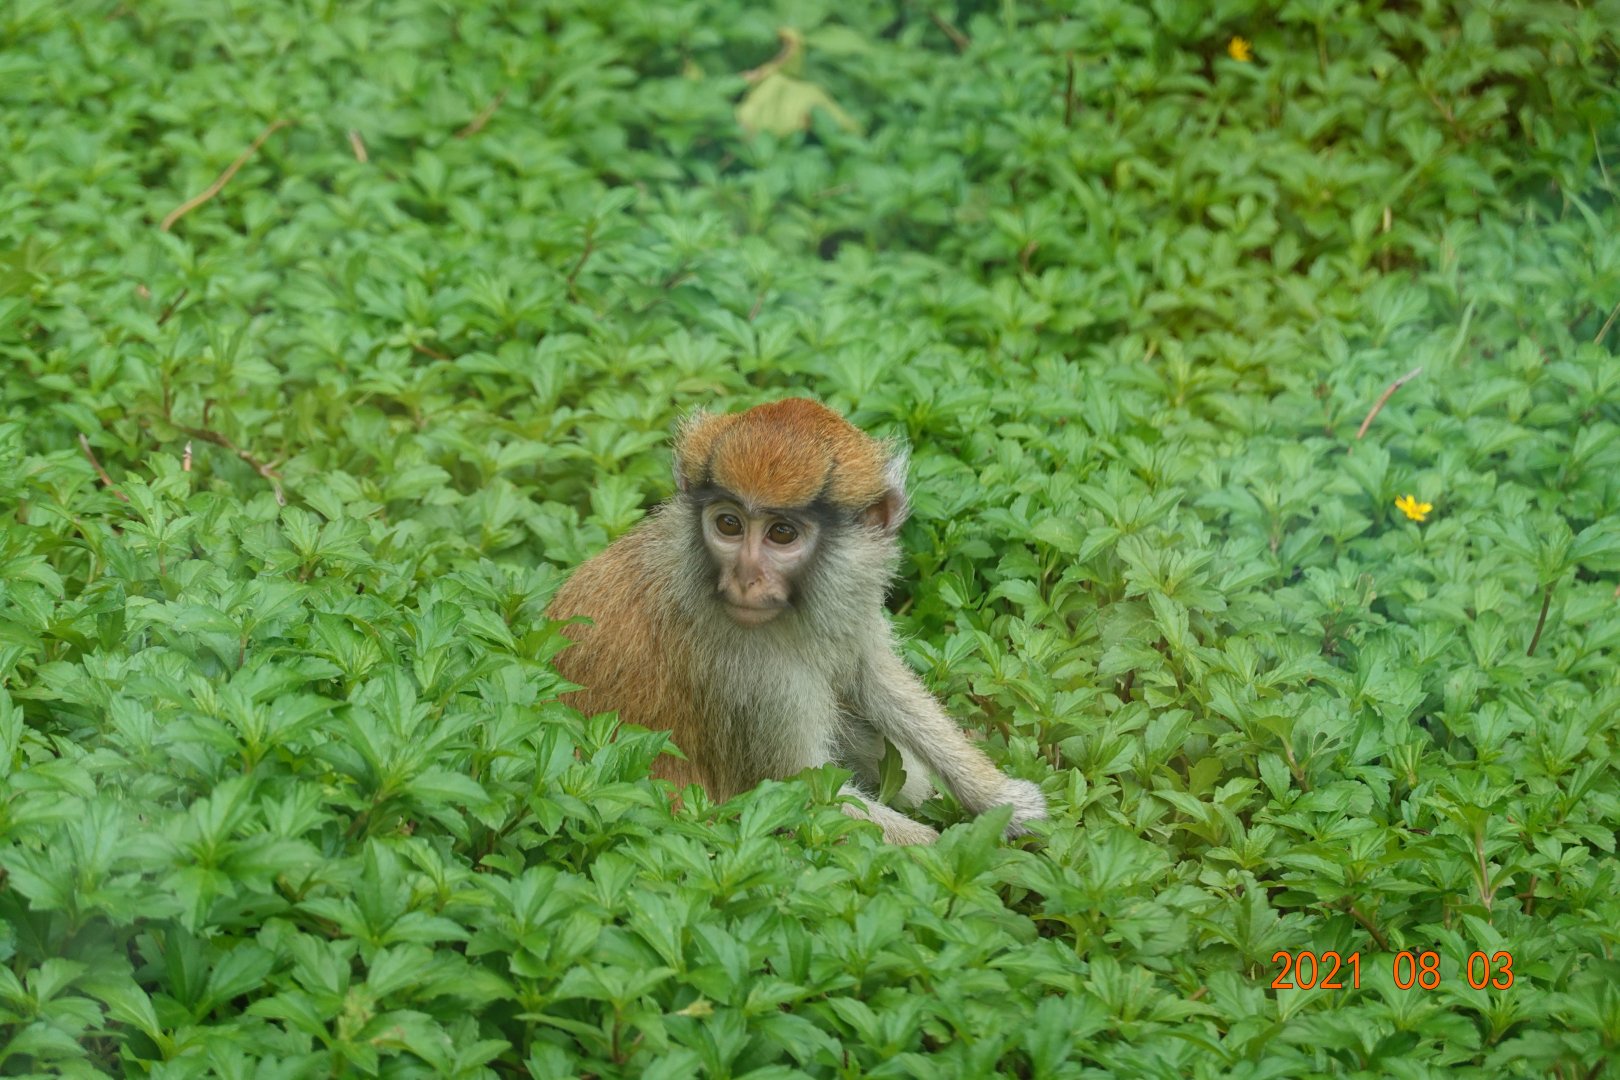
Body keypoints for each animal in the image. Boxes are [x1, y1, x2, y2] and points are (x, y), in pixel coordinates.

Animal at [547, 398, 1046, 845]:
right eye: (728, 524)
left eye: (782, 533)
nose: (745, 579)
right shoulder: (751, 680)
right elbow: (799, 795)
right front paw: (965, 850)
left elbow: (874, 678)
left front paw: (1004, 800)